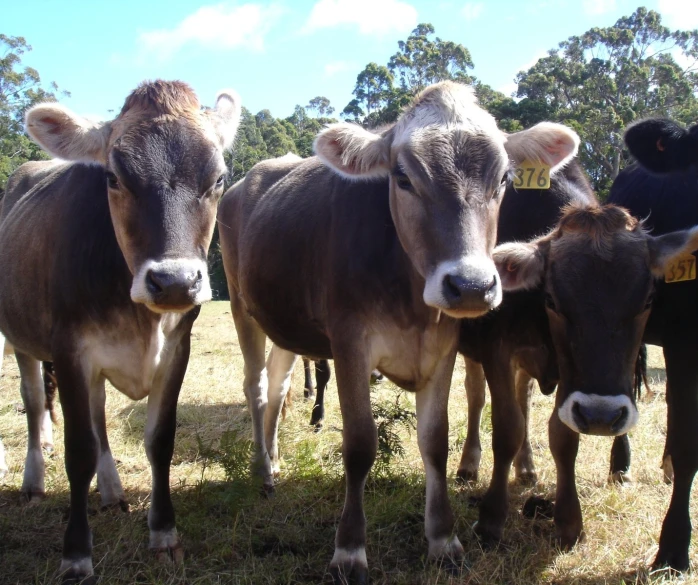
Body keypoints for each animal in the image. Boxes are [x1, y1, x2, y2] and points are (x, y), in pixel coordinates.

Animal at [220, 81, 580, 580]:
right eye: (403, 177)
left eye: (505, 179)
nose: (471, 285)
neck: (411, 299)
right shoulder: (349, 343)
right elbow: (359, 444)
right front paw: (349, 550)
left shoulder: (443, 349)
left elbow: (435, 442)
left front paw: (443, 539)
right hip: (242, 306)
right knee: (254, 386)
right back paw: (263, 470)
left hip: (284, 323)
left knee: (278, 384)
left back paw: (273, 455)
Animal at [492, 200, 696, 560]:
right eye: (550, 300)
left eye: (648, 301)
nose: (601, 416)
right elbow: (518, 429)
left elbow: (561, 434)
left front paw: (568, 522)